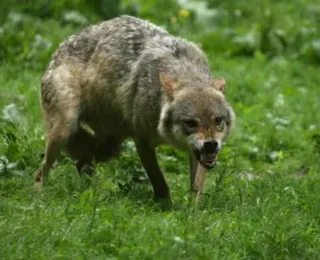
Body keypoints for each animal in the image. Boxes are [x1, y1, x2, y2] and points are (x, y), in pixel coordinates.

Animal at [33, 15, 235, 204]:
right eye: (190, 123)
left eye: (218, 120)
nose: (211, 144)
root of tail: (58, 50)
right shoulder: (142, 142)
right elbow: (160, 182)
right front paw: (167, 208)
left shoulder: (199, 154)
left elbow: (197, 188)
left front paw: (194, 210)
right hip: (66, 128)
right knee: (42, 171)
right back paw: (40, 197)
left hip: (112, 145)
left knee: (82, 161)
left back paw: (90, 193)